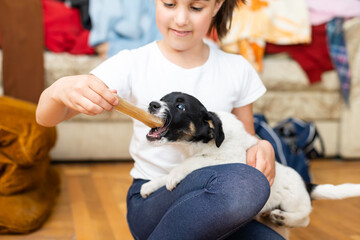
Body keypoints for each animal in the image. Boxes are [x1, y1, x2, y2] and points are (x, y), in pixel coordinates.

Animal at [139, 92, 360, 238]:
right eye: (162, 98)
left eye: (180, 107)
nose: (152, 104)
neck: (205, 140)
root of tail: (306, 184)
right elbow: (165, 174)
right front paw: (150, 185)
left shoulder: (228, 157)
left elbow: (192, 162)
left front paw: (173, 176)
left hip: (293, 201)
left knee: (305, 217)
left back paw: (283, 218)